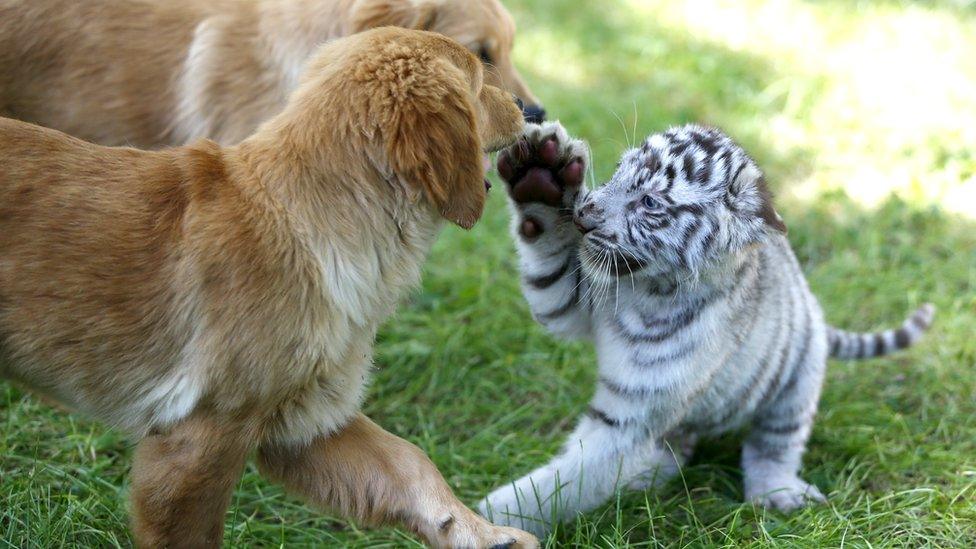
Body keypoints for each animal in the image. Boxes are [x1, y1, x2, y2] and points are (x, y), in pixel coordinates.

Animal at [0, 26, 532, 548]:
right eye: (481, 75)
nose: (530, 110)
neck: (305, 217)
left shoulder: (302, 420)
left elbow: (409, 462)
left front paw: (481, 533)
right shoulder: (199, 439)